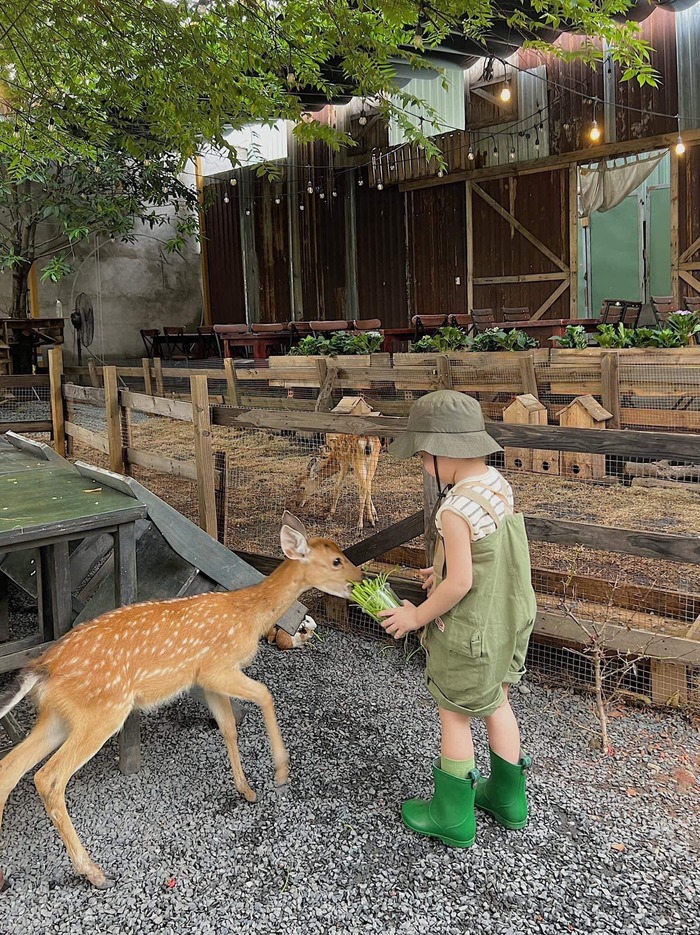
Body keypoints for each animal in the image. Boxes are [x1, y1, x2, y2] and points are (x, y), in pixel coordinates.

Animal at [0, 516, 360, 888]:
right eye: (336, 561)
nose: (360, 579)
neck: (248, 615)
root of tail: (43, 668)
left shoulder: (206, 678)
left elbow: (228, 727)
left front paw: (246, 790)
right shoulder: (218, 666)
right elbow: (265, 695)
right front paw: (280, 771)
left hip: (59, 716)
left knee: (8, 769)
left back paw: (5, 875)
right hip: (102, 712)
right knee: (48, 778)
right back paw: (93, 872)